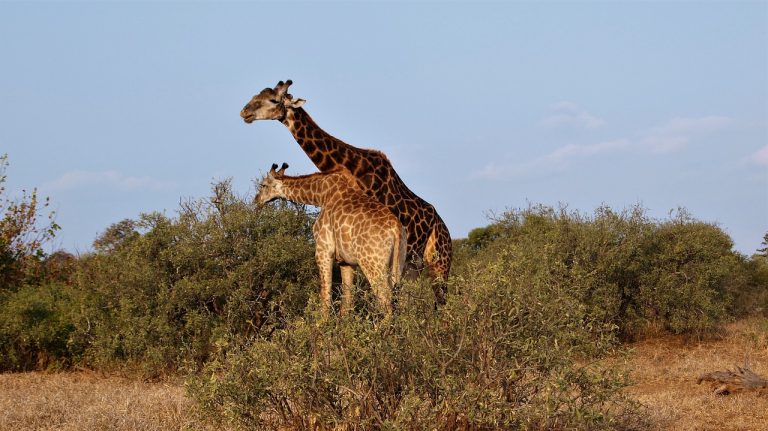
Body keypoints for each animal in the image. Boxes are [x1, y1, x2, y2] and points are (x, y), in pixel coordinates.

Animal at [255, 163, 407, 317]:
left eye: (263, 185)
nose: (257, 200)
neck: (321, 195)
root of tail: (396, 228)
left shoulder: (323, 250)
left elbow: (326, 296)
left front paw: (321, 323)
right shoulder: (346, 262)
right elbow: (346, 302)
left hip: (372, 264)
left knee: (385, 301)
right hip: (398, 264)